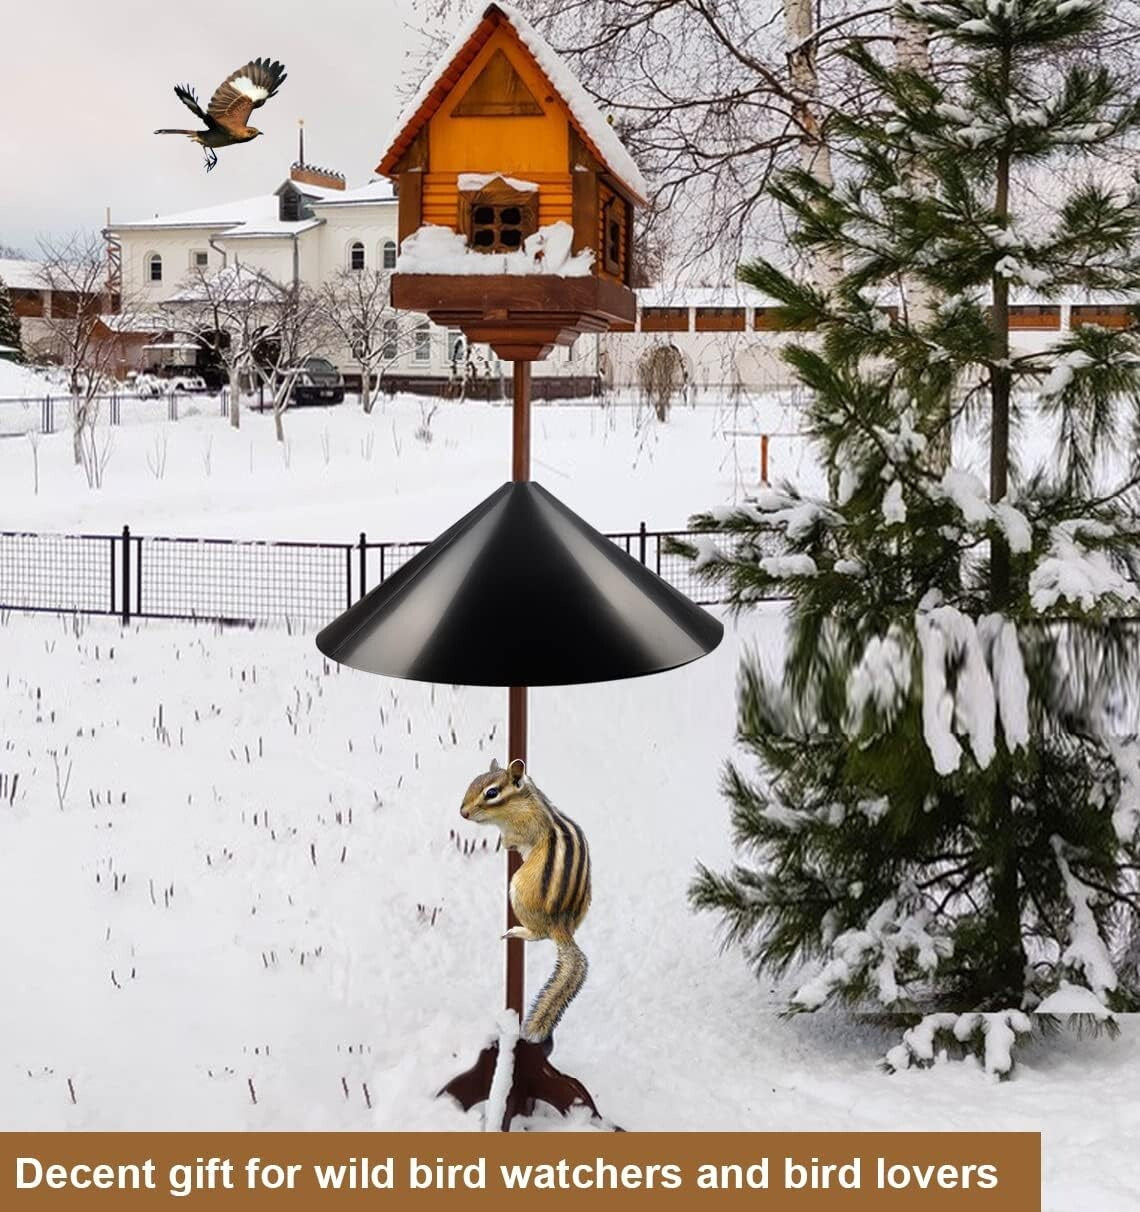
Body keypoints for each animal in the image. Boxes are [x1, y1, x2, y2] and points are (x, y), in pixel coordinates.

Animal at [460, 758, 591, 1043]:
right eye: (473, 782)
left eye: (492, 793)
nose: (462, 813)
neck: (523, 802)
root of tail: (561, 925)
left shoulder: (525, 829)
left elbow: (515, 839)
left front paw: (505, 843)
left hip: (519, 889)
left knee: (540, 935)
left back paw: (519, 931)